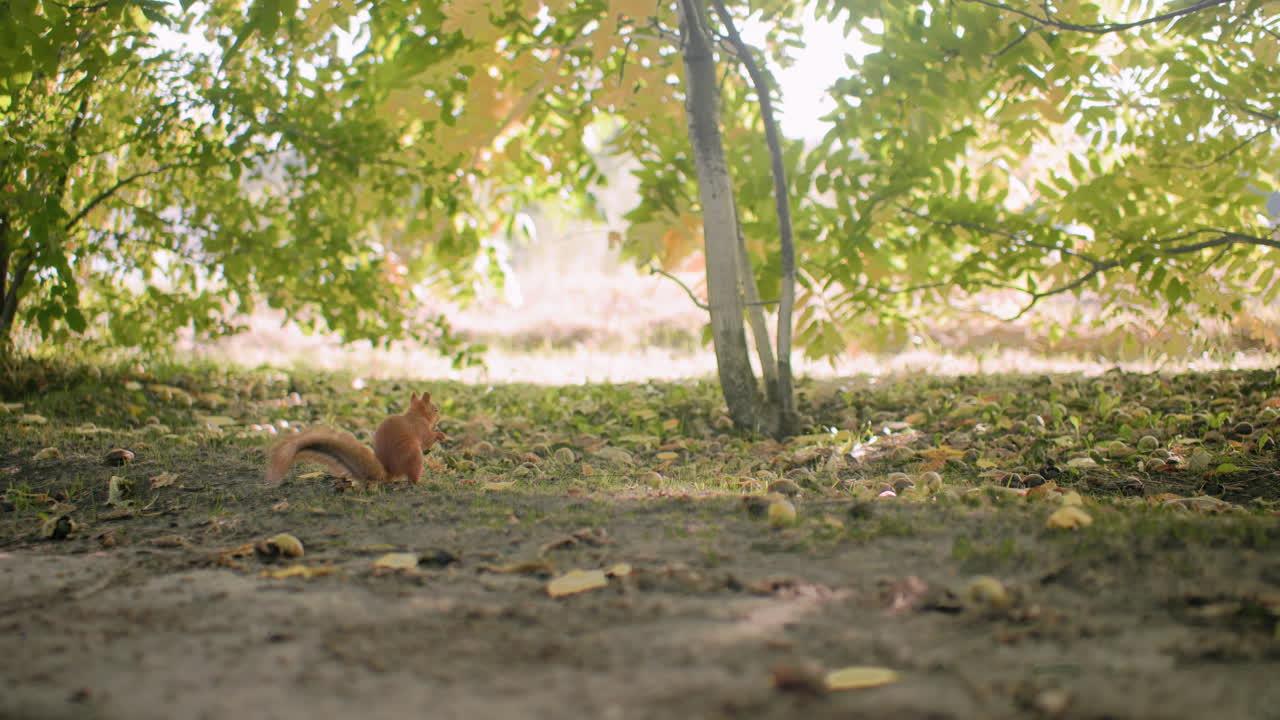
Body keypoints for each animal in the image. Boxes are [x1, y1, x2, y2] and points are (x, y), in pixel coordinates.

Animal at [265, 390, 446, 486]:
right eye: (435, 409)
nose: (439, 417)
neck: (416, 415)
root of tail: (389, 473)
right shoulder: (420, 429)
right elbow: (427, 440)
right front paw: (440, 435)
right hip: (413, 456)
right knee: (412, 477)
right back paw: (421, 482)